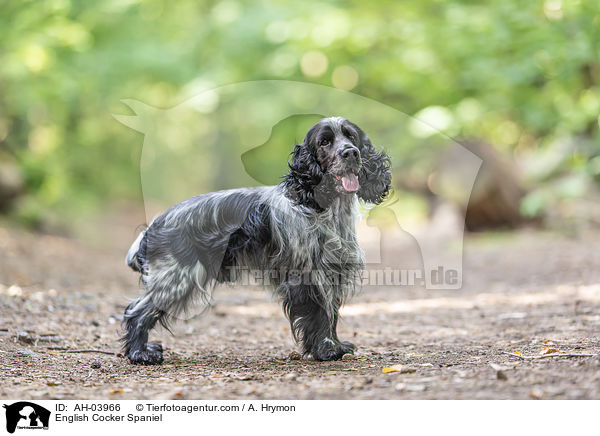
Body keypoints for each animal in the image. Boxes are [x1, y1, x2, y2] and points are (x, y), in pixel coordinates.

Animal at [124, 116, 392, 364]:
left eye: (351, 136)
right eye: (324, 142)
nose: (351, 152)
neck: (321, 208)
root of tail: (155, 224)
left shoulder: (334, 271)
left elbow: (331, 312)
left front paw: (334, 345)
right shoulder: (308, 275)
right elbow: (321, 314)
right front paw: (327, 350)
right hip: (176, 278)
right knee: (136, 312)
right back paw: (140, 354)